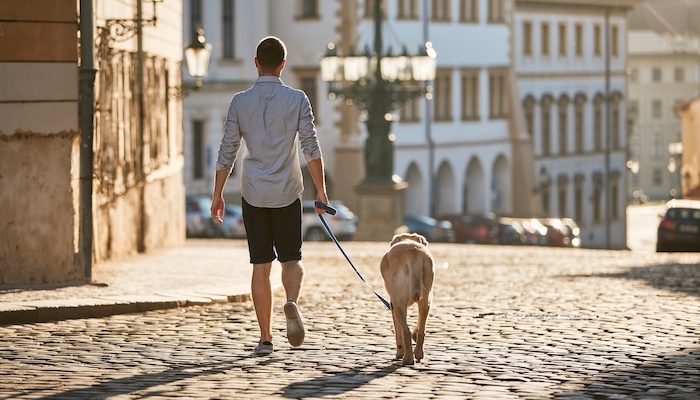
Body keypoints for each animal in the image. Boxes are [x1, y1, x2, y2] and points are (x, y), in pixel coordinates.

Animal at [380, 231, 434, 366]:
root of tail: (413, 252)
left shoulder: (393, 304)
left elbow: (398, 332)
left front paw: (399, 353)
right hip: (426, 300)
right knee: (422, 330)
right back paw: (419, 353)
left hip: (398, 303)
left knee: (405, 331)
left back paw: (407, 359)